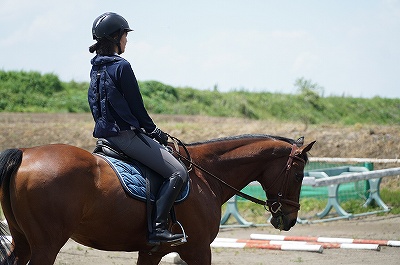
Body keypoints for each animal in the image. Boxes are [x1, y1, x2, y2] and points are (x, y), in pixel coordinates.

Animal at [0, 134, 316, 264]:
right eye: (299, 175)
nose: (289, 220)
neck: (206, 176)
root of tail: (24, 153)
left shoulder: (151, 252)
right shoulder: (198, 250)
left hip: (24, 242)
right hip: (47, 245)